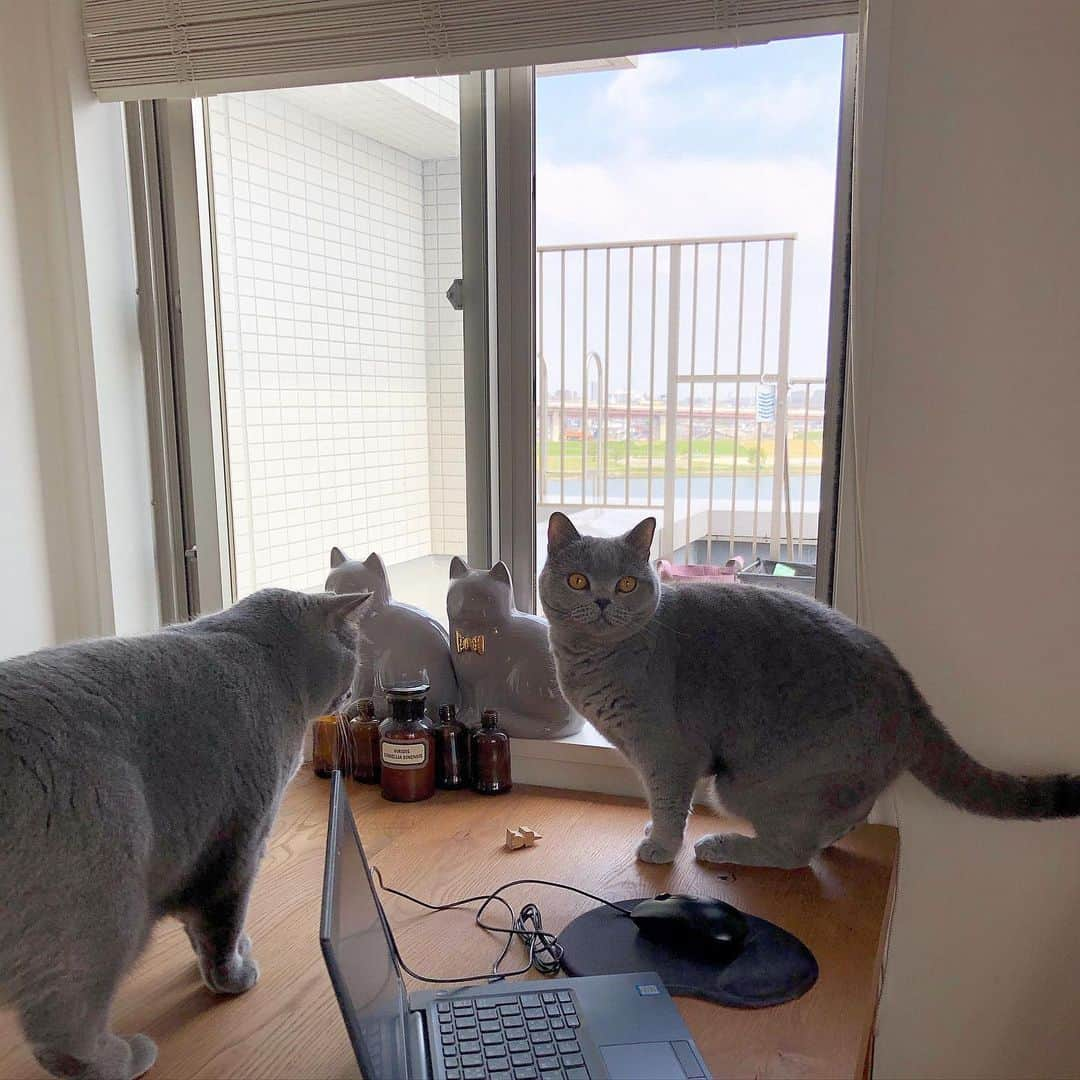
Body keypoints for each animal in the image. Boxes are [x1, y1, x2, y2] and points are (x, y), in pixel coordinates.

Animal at [0, 591, 367, 1080]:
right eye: (355, 653)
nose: (355, 692)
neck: (268, 660)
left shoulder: (197, 850)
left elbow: (201, 927)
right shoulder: (241, 842)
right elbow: (221, 925)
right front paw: (232, 978)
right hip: (107, 910)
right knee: (64, 1031)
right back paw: (128, 1057)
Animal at [324, 548, 460, 717]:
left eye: (350, 585)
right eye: (330, 586)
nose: (334, 595)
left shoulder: (366, 658)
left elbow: (360, 687)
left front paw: (348, 706)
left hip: (390, 659)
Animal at [447, 557, 583, 743]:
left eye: (484, 597)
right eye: (460, 595)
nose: (468, 606)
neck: (472, 636)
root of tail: (571, 722)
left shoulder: (489, 680)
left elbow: (483, 704)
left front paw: (476, 719)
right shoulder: (464, 681)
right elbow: (469, 704)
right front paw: (463, 718)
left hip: (524, 675)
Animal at [540, 514, 1080, 868]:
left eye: (628, 584)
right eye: (578, 580)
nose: (604, 600)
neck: (591, 660)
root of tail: (908, 689)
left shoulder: (666, 751)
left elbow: (669, 801)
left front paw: (661, 847)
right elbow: (658, 801)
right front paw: (654, 830)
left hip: (749, 782)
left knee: (794, 854)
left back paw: (725, 848)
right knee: (843, 818)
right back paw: (827, 835)